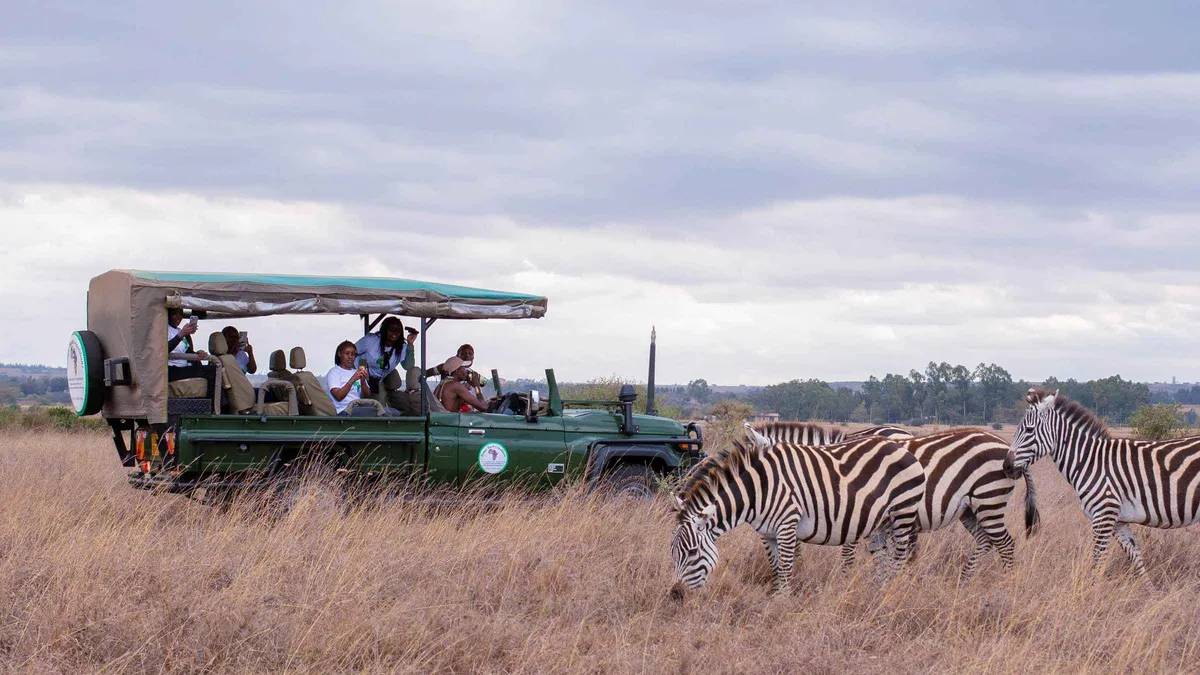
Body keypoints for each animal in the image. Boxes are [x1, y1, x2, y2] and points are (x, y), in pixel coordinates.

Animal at [669, 436, 926, 600]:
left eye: (692, 552)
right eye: (673, 553)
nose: (675, 595)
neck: (758, 490)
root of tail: (903, 449)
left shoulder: (787, 525)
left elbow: (785, 568)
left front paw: (782, 605)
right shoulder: (767, 533)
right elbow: (774, 568)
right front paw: (775, 600)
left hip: (902, 513)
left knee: (899, 558)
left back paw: (891, 595)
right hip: (880, 523)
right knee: (882, 560)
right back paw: (877, 595)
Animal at [748, 421, 1040, 580]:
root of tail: (1007, 448)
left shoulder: (854, 515)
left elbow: (848, 557)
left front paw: (845, 583)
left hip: (988, 499)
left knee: (1005, 544)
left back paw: (1004, 584)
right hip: (970, 509)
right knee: (985, 541)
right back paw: (965, 580)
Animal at [1010, 388, 1200, 578]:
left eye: (1029, 430)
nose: (1007, 466)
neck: (1090, 461)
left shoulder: (1104, 514)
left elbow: (1097, 562)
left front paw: (1090, 586)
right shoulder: (1119, 522)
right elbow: (1136, 559)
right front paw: (1147, 585)